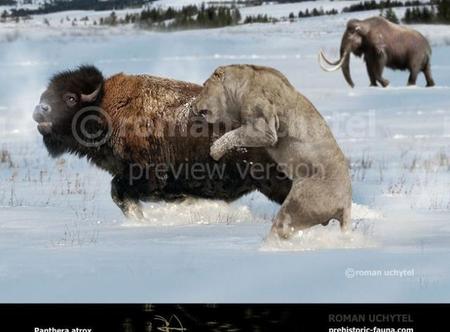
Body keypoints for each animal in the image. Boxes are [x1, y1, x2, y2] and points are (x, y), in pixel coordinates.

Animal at [31, 65, 292, 220]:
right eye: (47, 94)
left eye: (70, 98)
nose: (40, 110)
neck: (106, 108)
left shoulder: (146, 176)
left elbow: (118, 191)